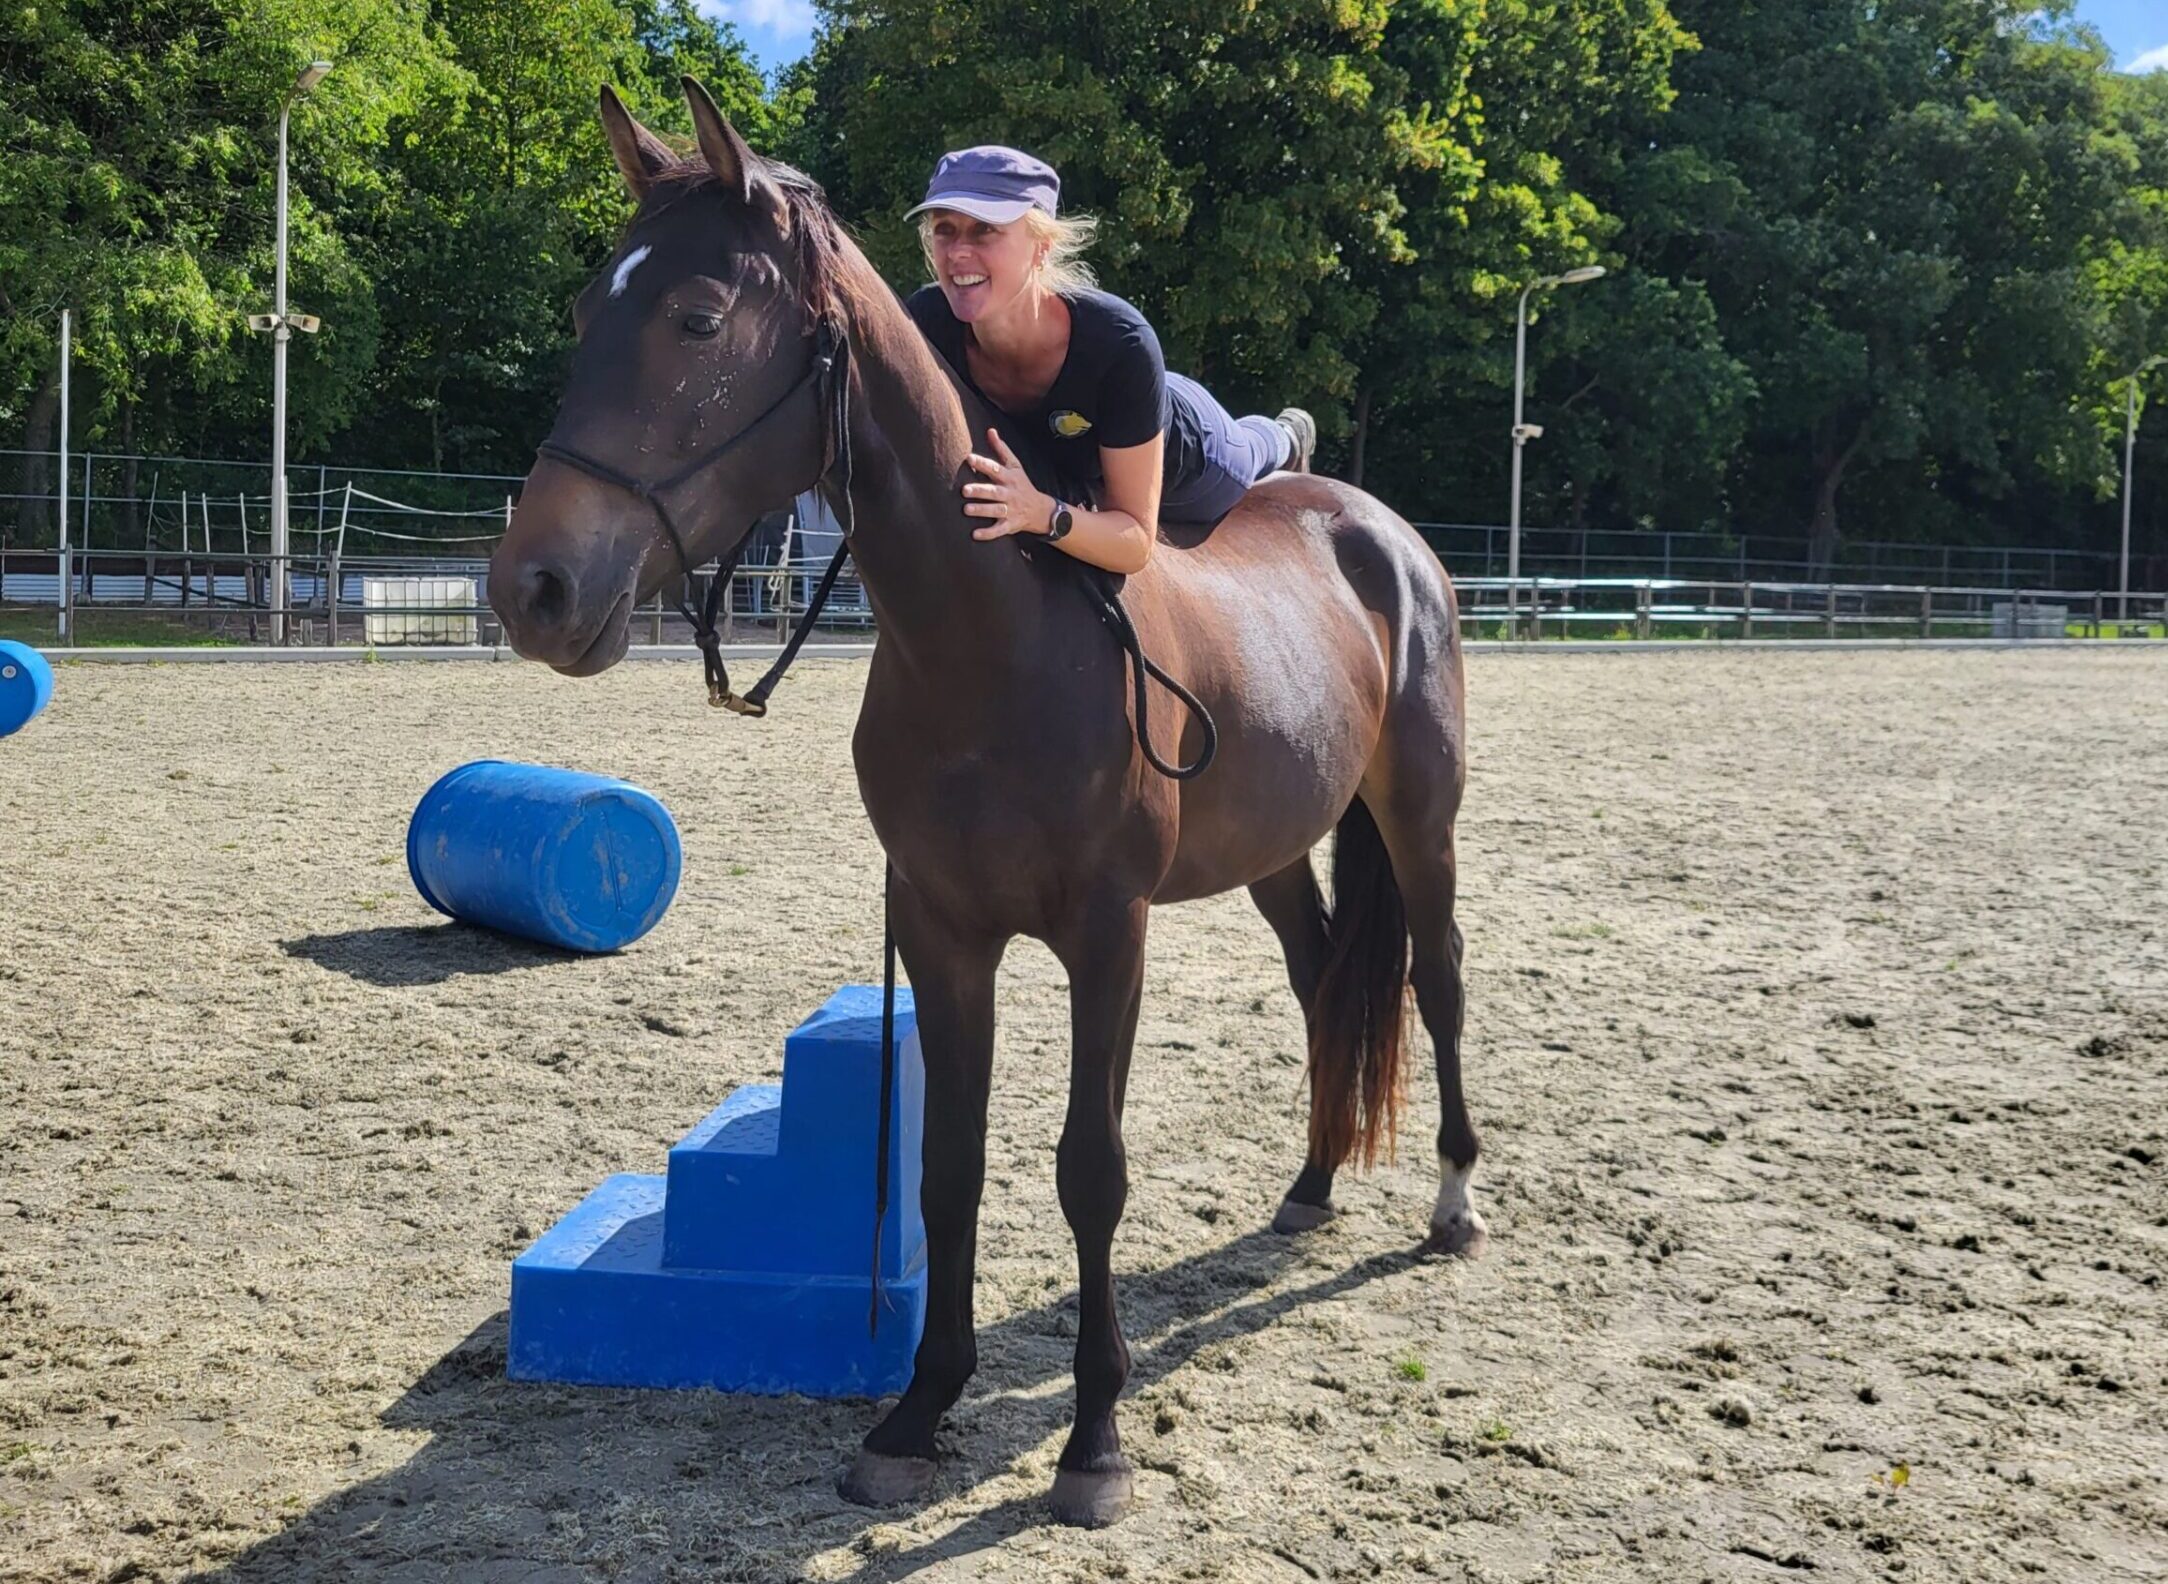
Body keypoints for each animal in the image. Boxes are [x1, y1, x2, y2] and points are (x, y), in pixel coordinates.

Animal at [489, 78, 1485, 1529]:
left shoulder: (1107, 936)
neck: (995, 647)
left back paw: (1456, 1202)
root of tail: (1377, 530)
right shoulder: (943, 929)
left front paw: (1093, 1444)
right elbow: (946, 1163)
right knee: (1318, 981)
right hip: (1276, 846)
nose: (534, 588)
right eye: (581, 313)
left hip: (1418, 817)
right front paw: (916, 1410)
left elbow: (1088, 1167)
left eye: (697, 319)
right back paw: (1308, 1186)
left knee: (1439, 978)